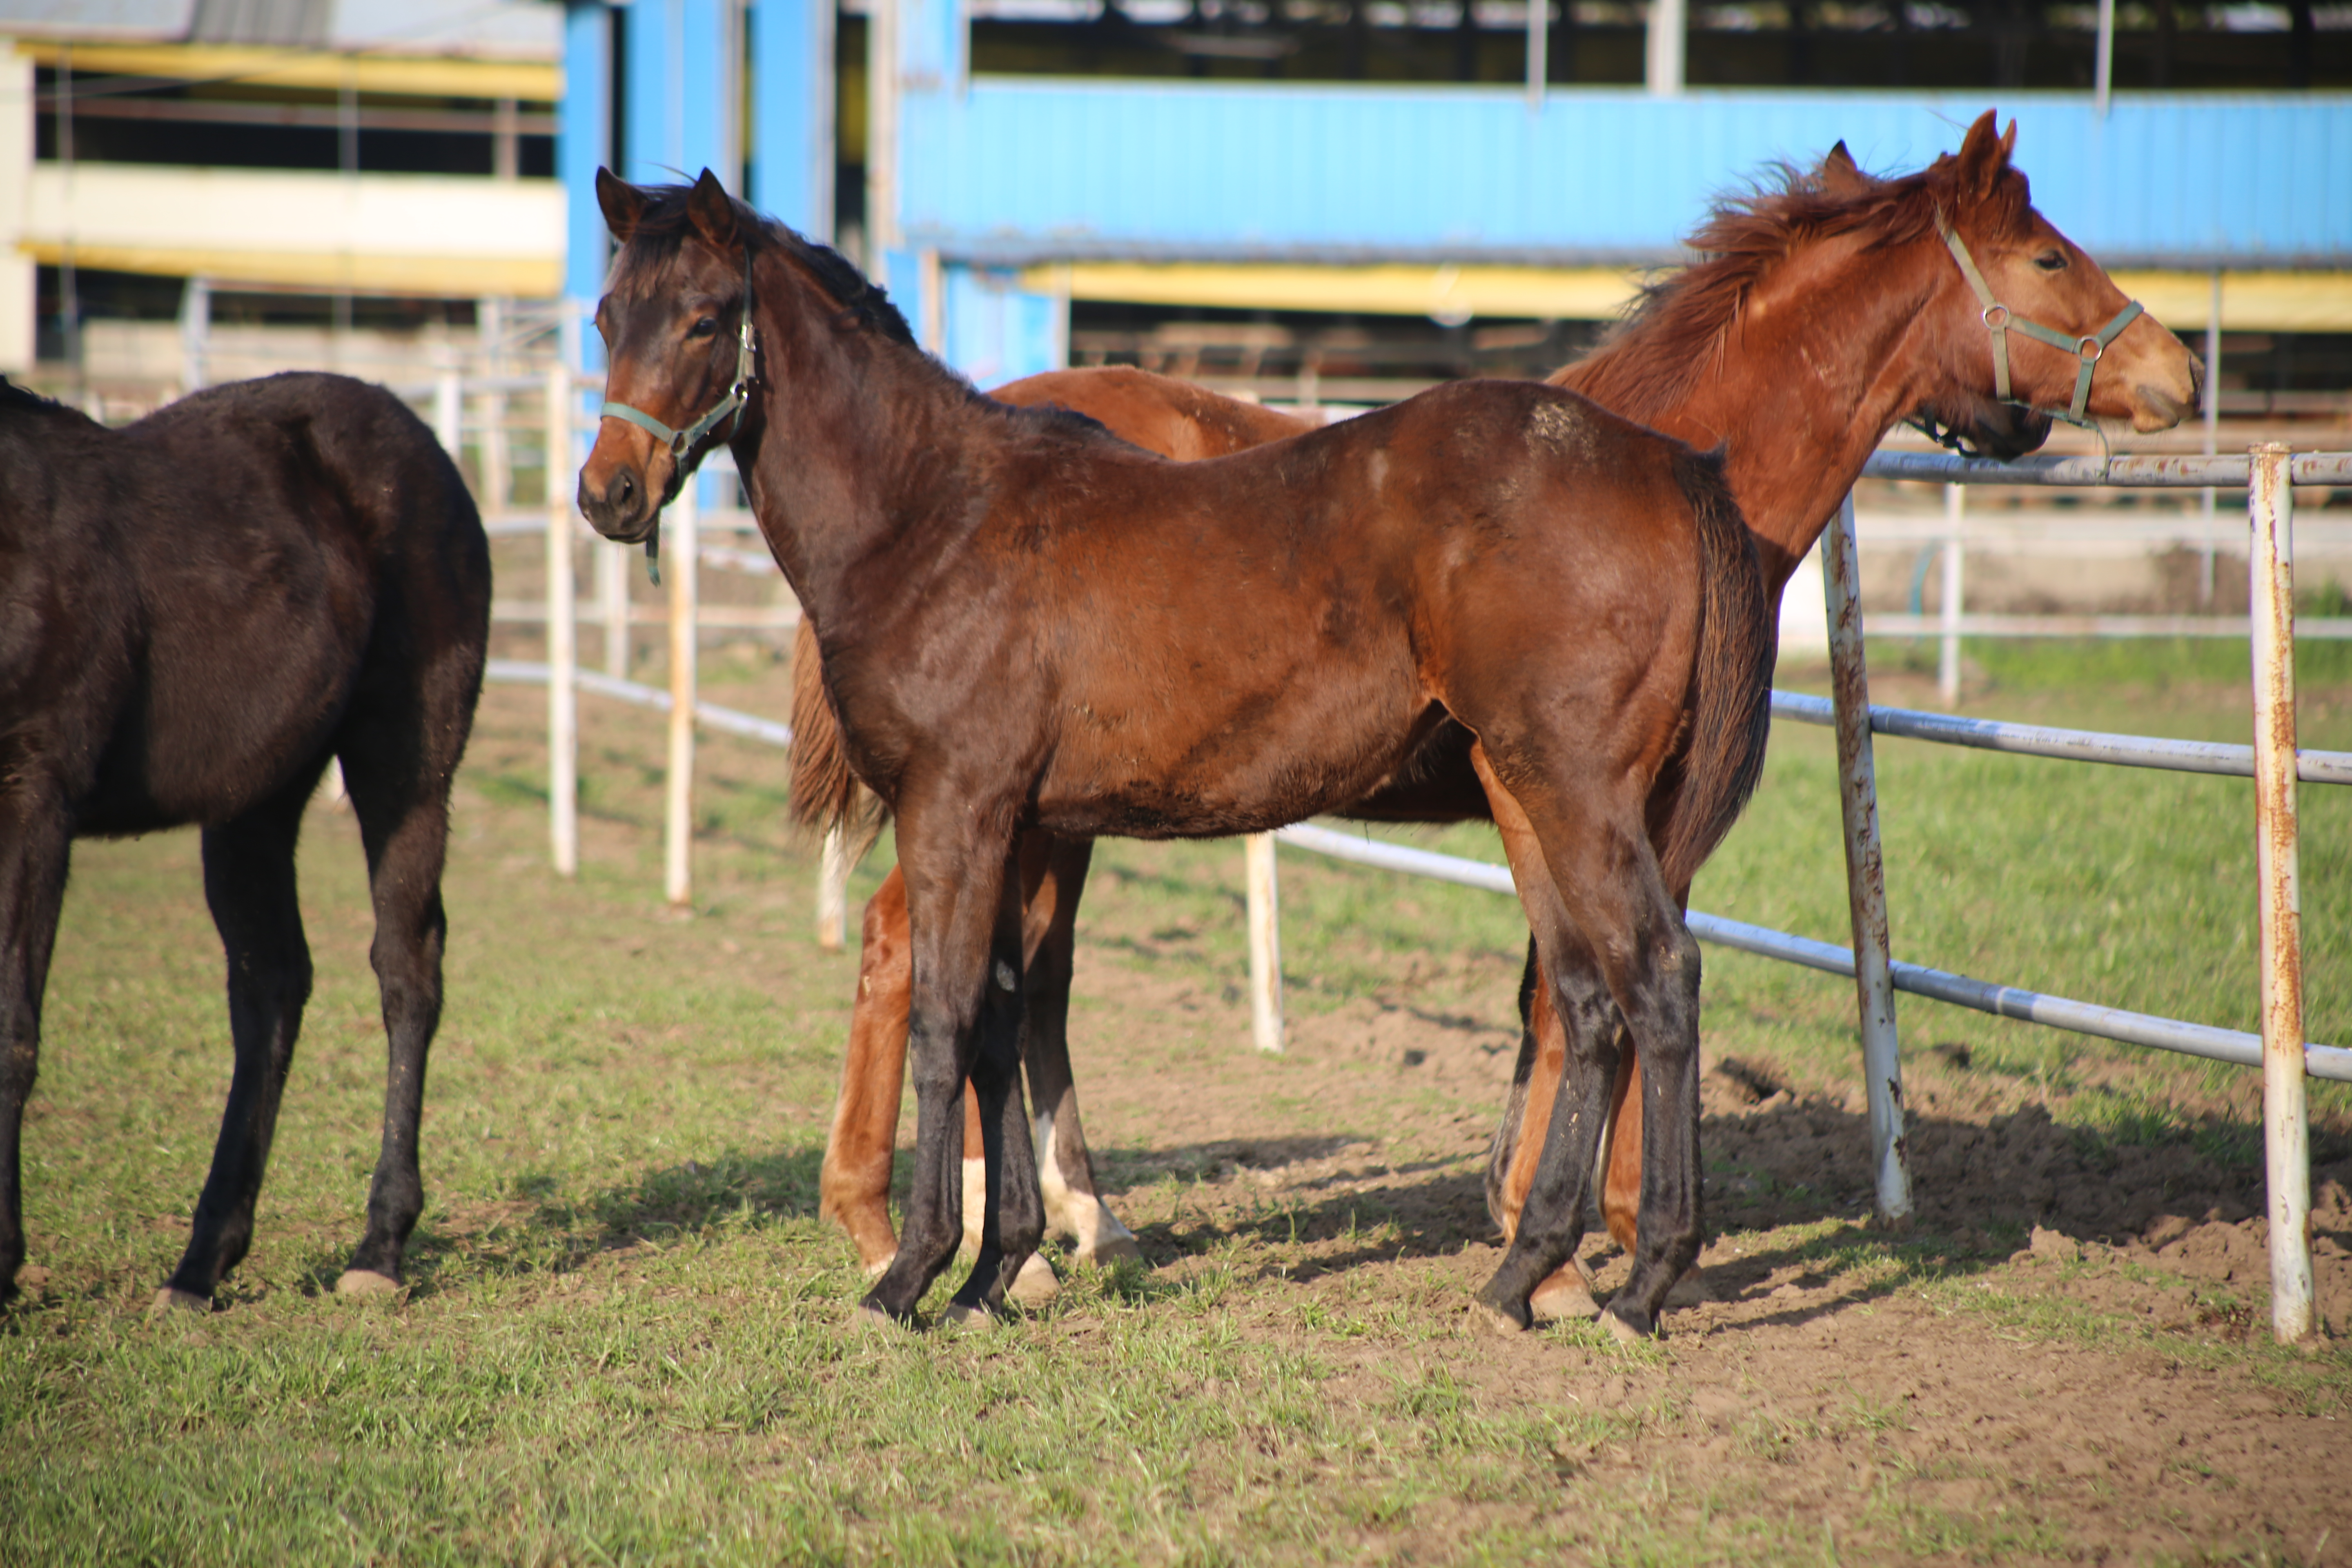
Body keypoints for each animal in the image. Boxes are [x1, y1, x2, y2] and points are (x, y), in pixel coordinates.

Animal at [3, 371, 491, 1316]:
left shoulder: (33, 794)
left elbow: (12, 1030)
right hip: (257, 797)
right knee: (271, 987)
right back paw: (201, 1264)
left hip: (405, 767)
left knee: (406, 973)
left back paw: (379, 1247)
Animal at [578, 169, 1768, 1335]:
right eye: (603, 317)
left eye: (702, 319)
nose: (608, 495)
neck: (932, 518)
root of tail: (1665, 461)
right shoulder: (1014, 824)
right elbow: (1005, 1020)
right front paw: (993, 1274)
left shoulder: (954, 810)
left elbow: (945, 1024)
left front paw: (910, 1279)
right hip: (1526, 795)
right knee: (1587, 1001)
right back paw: (1523, 1276)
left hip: (1580, 794)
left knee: (1658, 976)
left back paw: (1643, 1287)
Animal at [800, 116, 2192, 1335]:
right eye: (2048, 257)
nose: (2179, 372)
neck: (1677, 462)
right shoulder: (1611, 805)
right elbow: (1601, 993)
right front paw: (1591, 1245)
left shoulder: (1569, 800)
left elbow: (1560, 994)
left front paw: (1551, 1231)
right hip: (1010, 810)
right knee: (908, 949)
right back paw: (901, 1233)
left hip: (1047, 816)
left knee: (1020, 982)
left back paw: (1065, 1223)